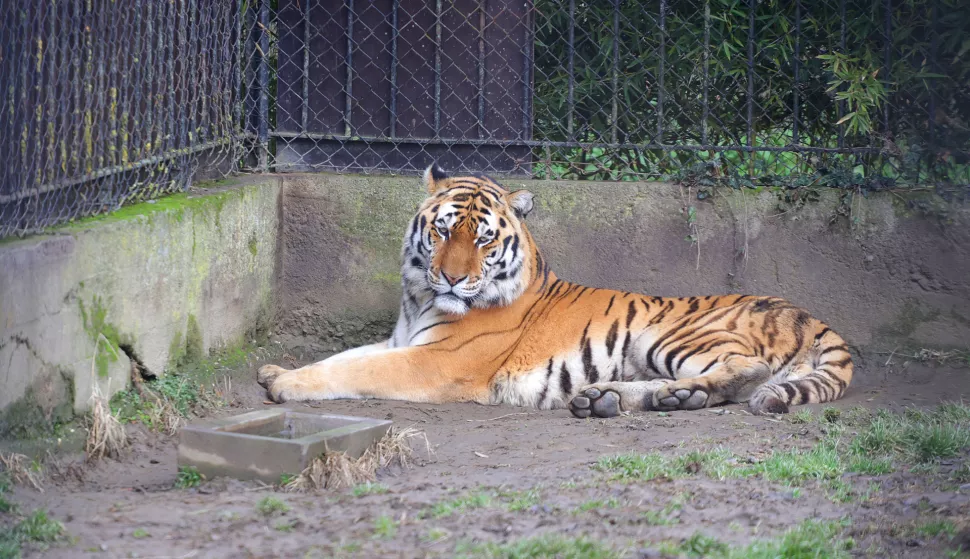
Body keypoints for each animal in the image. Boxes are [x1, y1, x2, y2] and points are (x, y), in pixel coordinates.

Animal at [255, 164, 848, 418]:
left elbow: (354, 369)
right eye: (443, 231)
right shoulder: (401, 341)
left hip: (671, 336)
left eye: (483, 238)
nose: (452, 277)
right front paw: (274, 370)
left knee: (747, 372)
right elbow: (345, 355)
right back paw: (617, 398)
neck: (419, 298)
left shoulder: (433, 361)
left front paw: (284, 385)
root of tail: (810, 315)